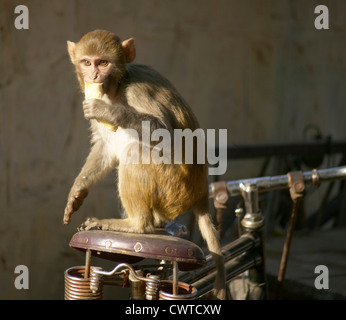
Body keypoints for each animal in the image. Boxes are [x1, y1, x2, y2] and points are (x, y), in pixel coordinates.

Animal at [64, 30, 227, 300]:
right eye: (87, 62)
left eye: (103, 62)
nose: (94, 76)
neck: (117, 87)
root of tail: (201, 191)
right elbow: (105, 147)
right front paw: (77, 193)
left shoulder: (136, 91)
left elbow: (166, 134)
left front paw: (111, 112)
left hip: (174, 186)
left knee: (136, 150)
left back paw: (136, 225)